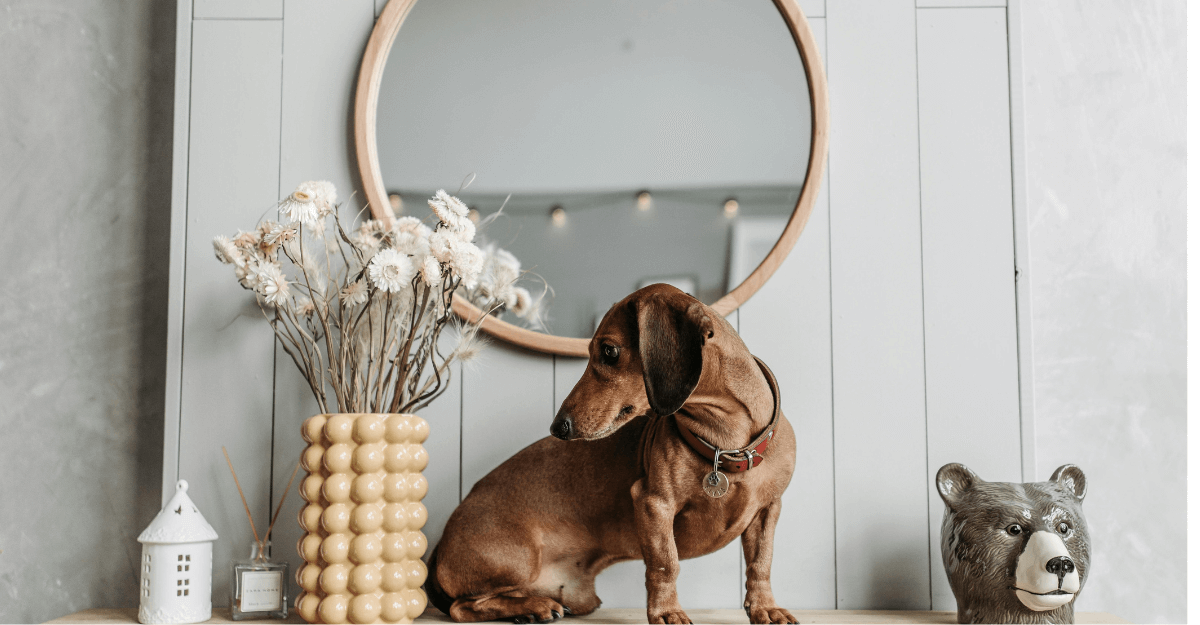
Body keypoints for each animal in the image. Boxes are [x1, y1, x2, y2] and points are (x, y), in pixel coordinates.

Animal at [429, 285, 796, 619]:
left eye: (608, 351)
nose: (558, 428)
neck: (724, 445)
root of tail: (439, 549)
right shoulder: (653, 503)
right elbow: (665, 564)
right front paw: (667, 612)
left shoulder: (769, 510)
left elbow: (761, 564)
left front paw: (765, 608)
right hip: (519, 560)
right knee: (463, 607)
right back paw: (534, 608)